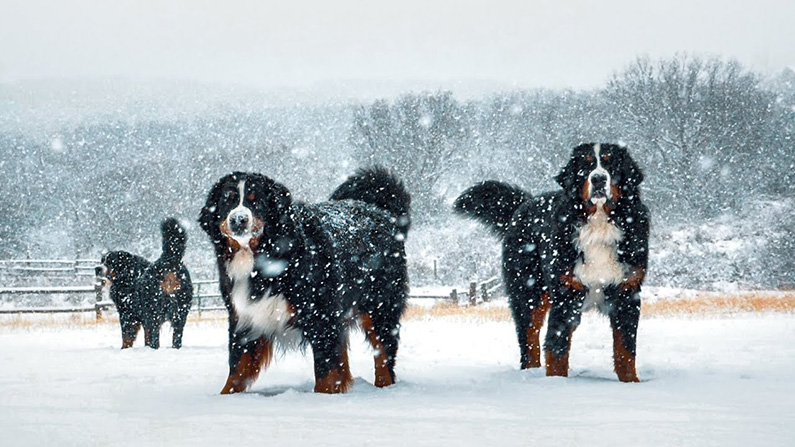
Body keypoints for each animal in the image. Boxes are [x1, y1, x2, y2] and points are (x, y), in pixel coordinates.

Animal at [97, 219, 194, 352]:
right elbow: (146, 335)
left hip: (154, 309)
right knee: (177, 335)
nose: (97, 268)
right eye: (102, 261)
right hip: (181, 309)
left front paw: (124, 349)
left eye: (110, 262)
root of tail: (169, 260)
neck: (128, 275)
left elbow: (127, 336)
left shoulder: (127, 314)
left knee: (155, 336)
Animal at [199, 167, 414, 396]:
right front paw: (227, 397)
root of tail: (380, 211)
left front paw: (322, 397)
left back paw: (385, 388)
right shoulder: (244, 318)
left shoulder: (321, 317)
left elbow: (325, 370)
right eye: (227, 200)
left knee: (383, 353)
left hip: (380, 307)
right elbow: (237, 368)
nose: (238, 219)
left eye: (256, 201)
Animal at [458, 145, 648, 384]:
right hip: (528, 292)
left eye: (610, 163)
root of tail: (524, 204)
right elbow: (557, 348)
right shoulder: (566, 293)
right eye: (585, 165)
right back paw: (531, 373)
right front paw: (557, 383)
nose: (598, 179)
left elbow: (626, 348)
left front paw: (631, 384)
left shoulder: (627, 292)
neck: (598, 225)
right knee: (529, 341)